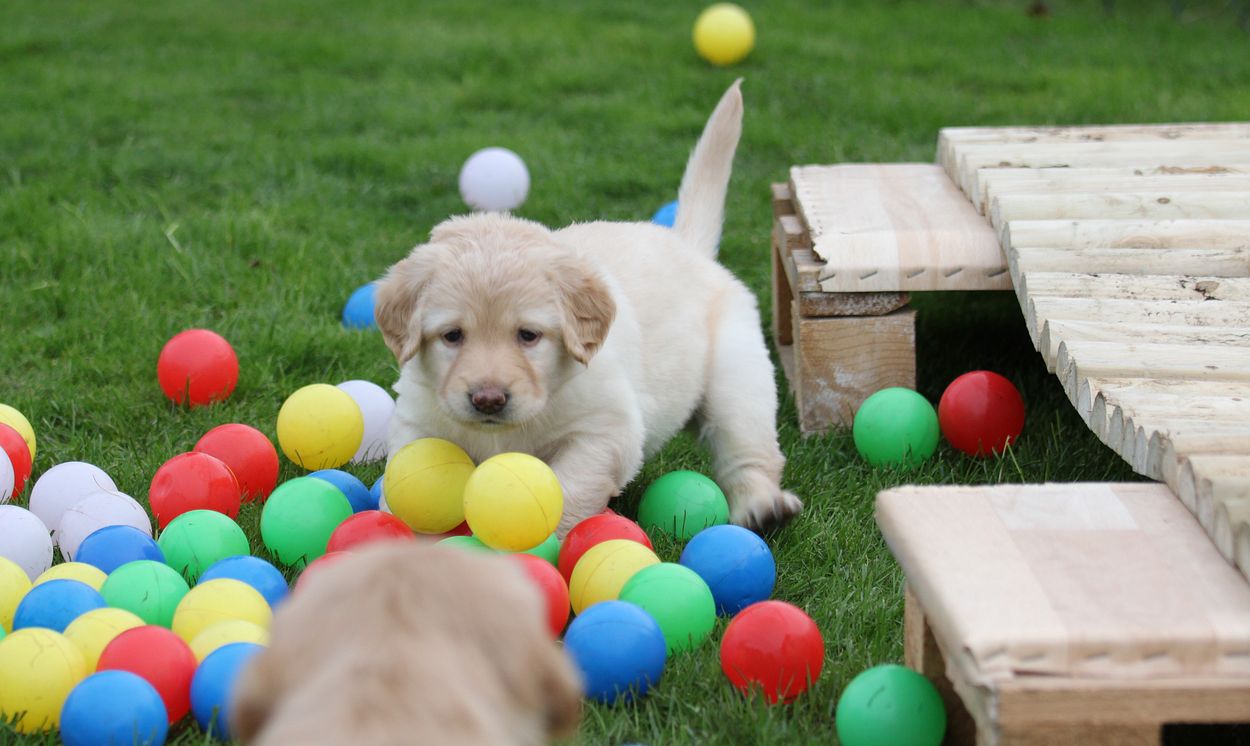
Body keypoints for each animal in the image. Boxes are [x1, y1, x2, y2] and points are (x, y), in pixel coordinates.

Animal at [375, 80, 802, 535]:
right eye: (452, 335)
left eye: (528, 335)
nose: (488, 400)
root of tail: (686, 244)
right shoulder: (417, 423)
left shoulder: (605, 431)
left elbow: (570, 490)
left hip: (737, 379)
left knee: (750, 452)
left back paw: (763, 506)